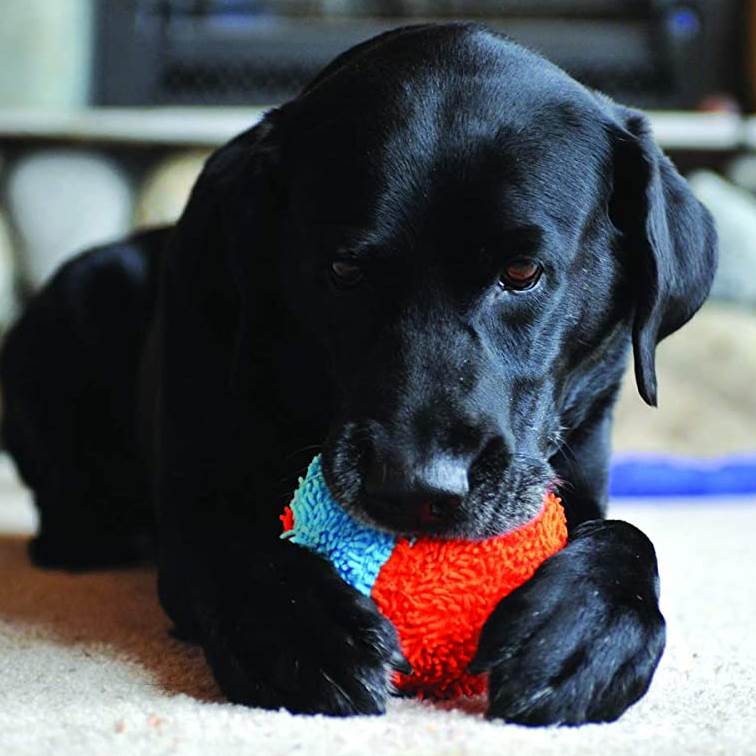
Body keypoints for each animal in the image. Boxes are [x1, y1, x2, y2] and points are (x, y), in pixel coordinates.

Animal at [2, 22, 716, 728]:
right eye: (344, 269)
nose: (416, 488)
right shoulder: (193, 501)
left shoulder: (576, 478)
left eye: (521, 272)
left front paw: (585, 630)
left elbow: (627, 535)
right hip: (80, 294)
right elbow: (229, 543)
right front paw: (308, 631)